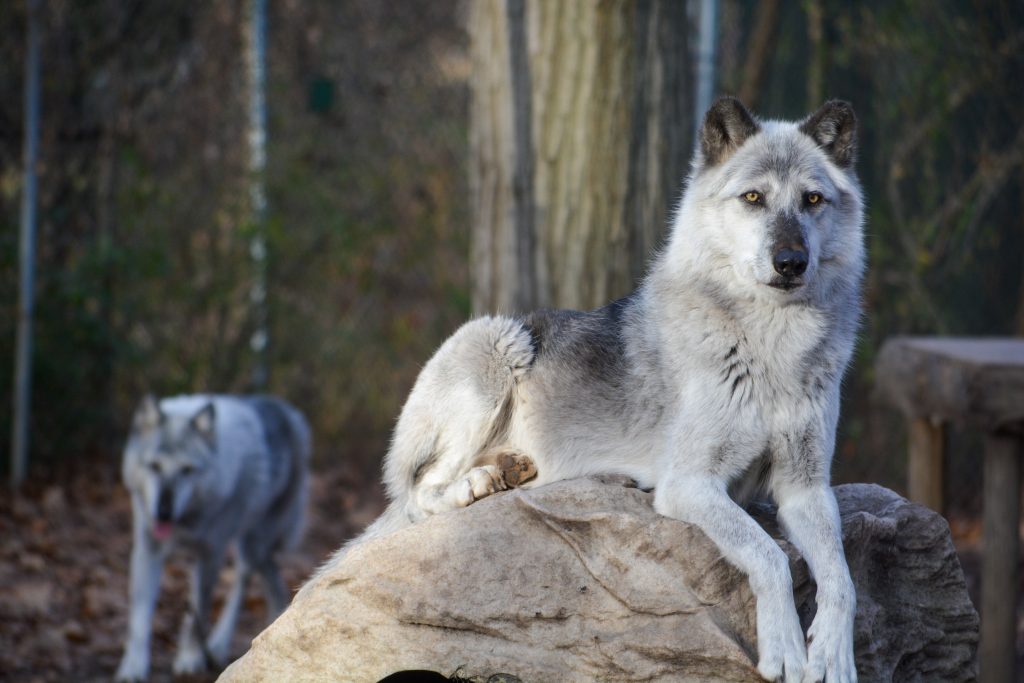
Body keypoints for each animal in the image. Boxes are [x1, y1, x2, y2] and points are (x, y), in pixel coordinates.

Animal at [115, 393, 307, 679]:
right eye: (154, 466)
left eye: (187, 469)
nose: (164, 512)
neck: (186, 519)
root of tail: (288, 412)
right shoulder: (147, 549)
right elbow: (140, 616)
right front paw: (133, 667)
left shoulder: (210, 553)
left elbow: (199, 613)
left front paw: (190, 659)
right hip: (254, 548)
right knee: (268, 578)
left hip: (252, 545)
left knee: (245, 582)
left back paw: (219, 645)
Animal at [325, 97, 864, 683]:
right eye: (753, 198)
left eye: (812, 200)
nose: (791, 262)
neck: (772, 347)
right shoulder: (689, 483)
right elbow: (768, 555)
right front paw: (786, 646)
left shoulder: (804, 488)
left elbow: (843, 579)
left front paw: (832, 653)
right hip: (498, 342)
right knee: (421, 493)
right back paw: (478, 485)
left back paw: (507, 471)